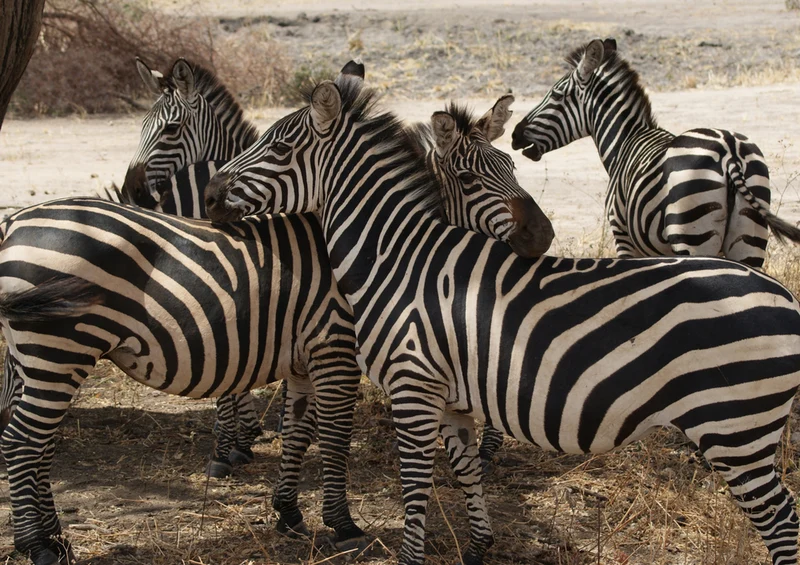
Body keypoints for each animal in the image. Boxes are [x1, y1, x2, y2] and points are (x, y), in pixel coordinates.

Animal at [0, 94, 550, 565]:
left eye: (512, 167)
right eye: (470, 178)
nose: (543, 236)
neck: (378, 248)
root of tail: (17, 221)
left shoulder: (305, 359)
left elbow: (298, 433)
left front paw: (288, 513)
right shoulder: (335, 349)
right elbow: (334, 436)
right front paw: (342, 525)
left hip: (36, 359)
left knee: (36, 444)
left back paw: (54, 538)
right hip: (58, 352)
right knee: (21, 441)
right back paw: (37, 545)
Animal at [204, 76, 800, 565]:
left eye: (279, 148)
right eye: (474, 176)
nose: (210, 196)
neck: (400, 258)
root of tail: (781, 293)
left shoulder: (412, 388)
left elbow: (415, 487)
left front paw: (411, 555)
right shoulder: (454, 400)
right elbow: (467, 472)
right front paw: (479, 547)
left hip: (735, 429)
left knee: (782, 523)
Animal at [510, 38, 800, 269]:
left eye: (556, 95)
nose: (514, 135)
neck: (624, 141)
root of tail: (729, 151)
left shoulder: (623, 235)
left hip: (693, 238)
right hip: (750, 239)